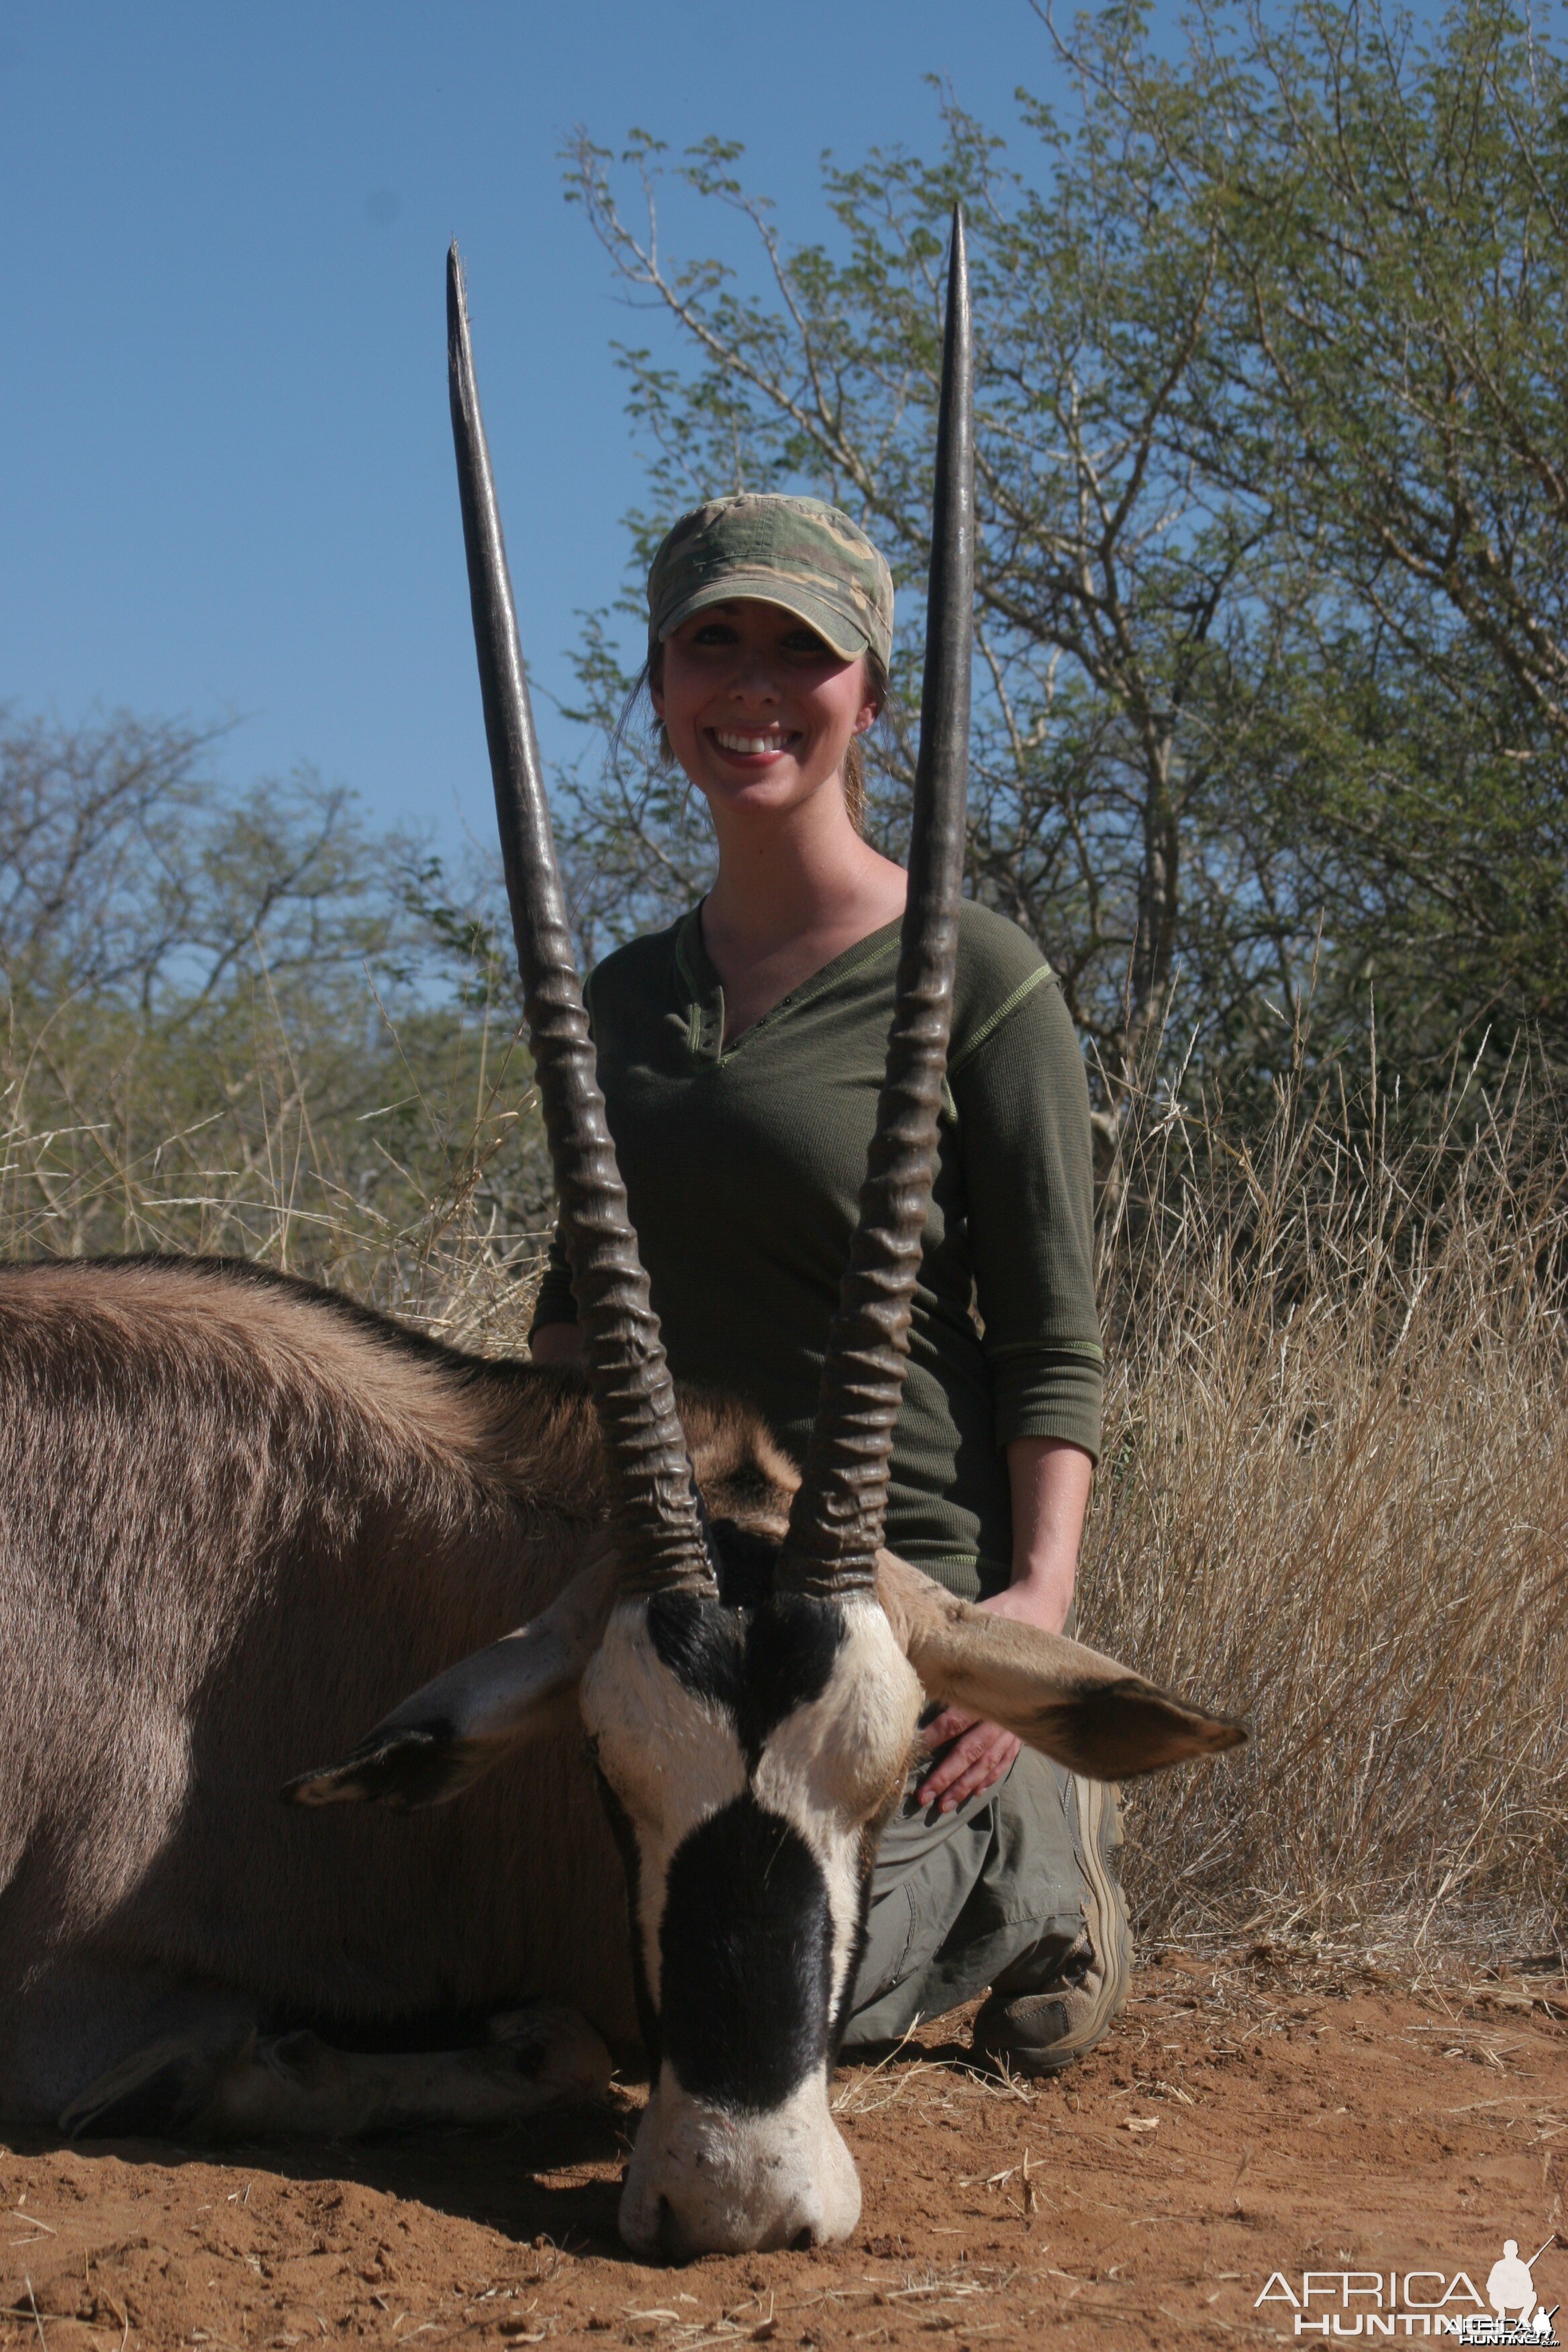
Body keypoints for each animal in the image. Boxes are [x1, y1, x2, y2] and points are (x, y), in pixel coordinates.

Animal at [0, 224, 1241, 2257]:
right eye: (605, 1769)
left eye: (888, 1767)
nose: (737, 2198)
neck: (286, 1578)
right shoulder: (60, 2002)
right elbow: (497, 2041)